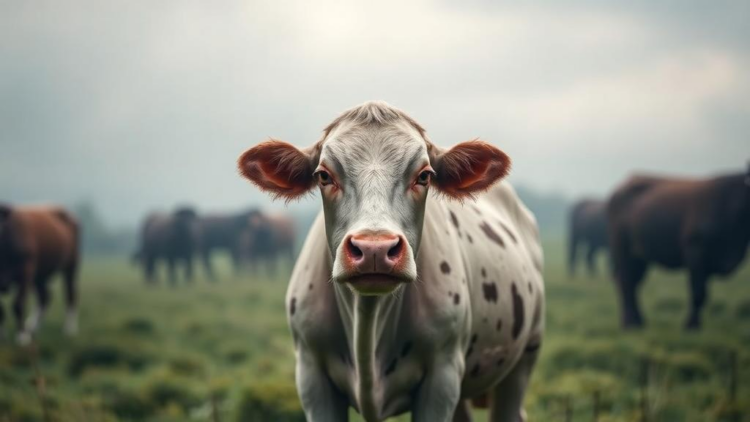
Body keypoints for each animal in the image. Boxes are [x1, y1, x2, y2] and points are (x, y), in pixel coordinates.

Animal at [0, 204, 80, 344]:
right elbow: (0, 310)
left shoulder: (25, 271)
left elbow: (18, 304)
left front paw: (22, 336)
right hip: (40, 276)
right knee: (45, 297)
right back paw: (32, 327)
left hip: (71, 266)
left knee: (70, 295)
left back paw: (69, 329)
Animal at [237, 101, 545, 422]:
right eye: (323, 176)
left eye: (424, 176)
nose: (374, 249)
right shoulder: (311, 376)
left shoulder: (442, 376)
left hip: (525, 356)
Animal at [607, 168, 750, 329]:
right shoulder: (695, 252)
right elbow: (698, 293)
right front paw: (691, 325)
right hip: (623, 250)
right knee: (626, 282)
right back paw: (630, 323)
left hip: (640, 257)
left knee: (633, 284)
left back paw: (638, 321)